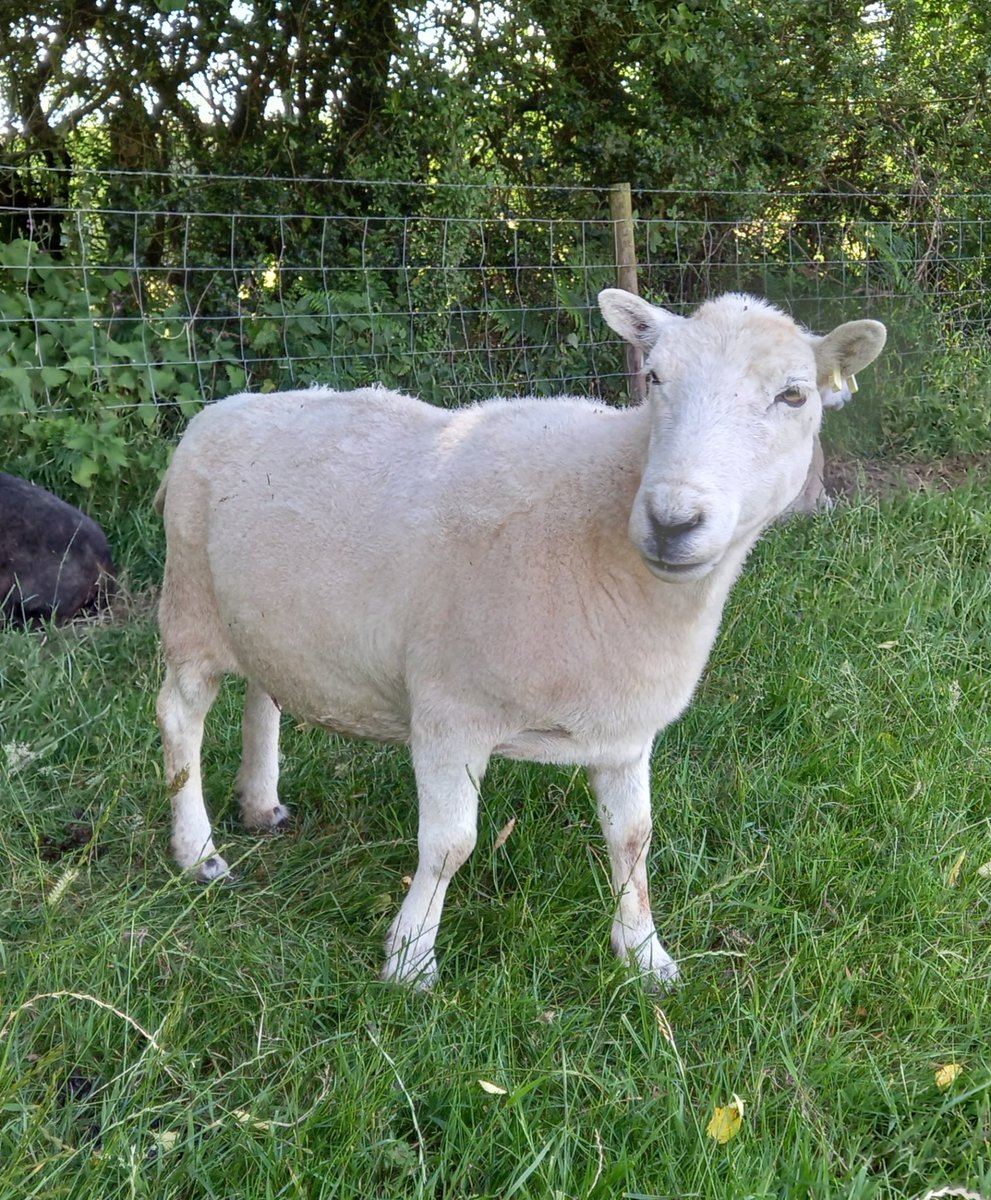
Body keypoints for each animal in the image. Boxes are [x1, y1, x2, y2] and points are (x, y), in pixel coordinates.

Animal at [158, 290, 883, 984]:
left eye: (793, 395)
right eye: (653, 377)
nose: (672, 521)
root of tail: (223, 408)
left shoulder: (625, 731)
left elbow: (634, 838)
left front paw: (645, 957)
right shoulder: (450, 712)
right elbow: (448, 846)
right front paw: (410, 963)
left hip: (261, 617)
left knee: (264, 692)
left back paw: (261, 806)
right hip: (189, 606)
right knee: (180, 717)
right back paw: (199, 854)